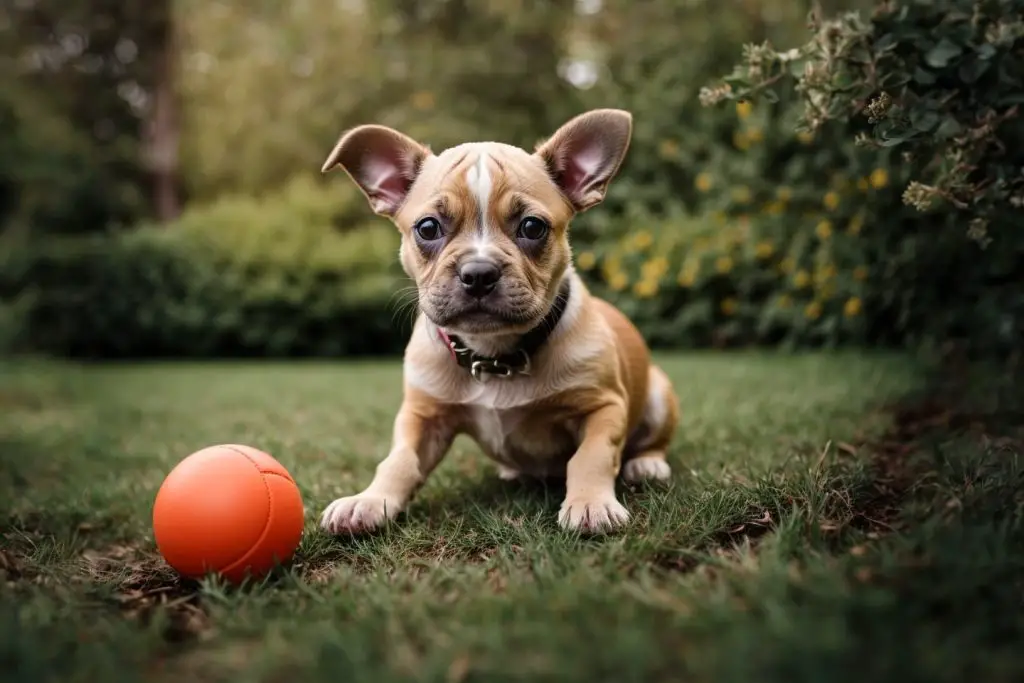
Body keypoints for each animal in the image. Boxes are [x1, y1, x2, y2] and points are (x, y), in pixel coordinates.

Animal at [315, 109, 675, 532]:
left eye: (533, 227)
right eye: (427, 228)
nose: (478, 272)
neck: (494, 353)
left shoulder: (603, 408)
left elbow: (592, 455)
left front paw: (591, 503)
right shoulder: (422, 417)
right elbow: (399, 461)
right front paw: (370, 500)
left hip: (658, 395)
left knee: (651, 442)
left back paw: (647, 464)